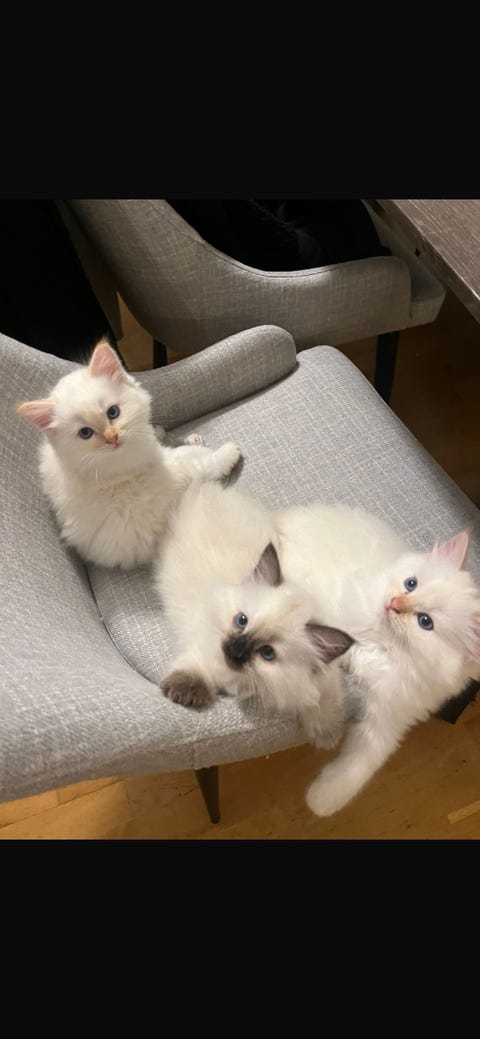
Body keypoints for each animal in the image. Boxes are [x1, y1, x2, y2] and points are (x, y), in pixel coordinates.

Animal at [16, 340, 241, 569]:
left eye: (113, 412)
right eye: (85, 433)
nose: (112, 437)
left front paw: (170, 434)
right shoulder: (170, 474)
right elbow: (202, 462)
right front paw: (228, 453)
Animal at [156, 481, 354, 748]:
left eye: (267, 653)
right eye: (242, 621)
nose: (235, 649)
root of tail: (211, 487)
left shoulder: (318, 681)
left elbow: (321, 701)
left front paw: (327, 735)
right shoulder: (203, 646)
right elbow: (196, 668)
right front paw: (185, 692)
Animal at [274, 501, 480, 816]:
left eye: (425, 622)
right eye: (411, 584)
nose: (394, 603)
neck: (383, 647)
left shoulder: (388, 720)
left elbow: (359, 766)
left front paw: (320, 801)